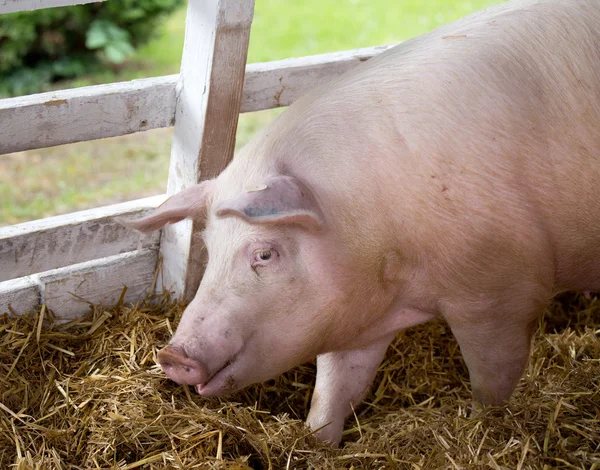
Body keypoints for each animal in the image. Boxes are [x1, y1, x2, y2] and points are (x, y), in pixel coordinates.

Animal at [120, 0, 600, 446]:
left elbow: (492, 379)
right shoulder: (352, 314)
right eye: (210, 250)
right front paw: (317, 442)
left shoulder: (503, 289)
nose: (173, 355)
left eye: (265, 253)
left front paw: (485, 425)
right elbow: (335, 387)